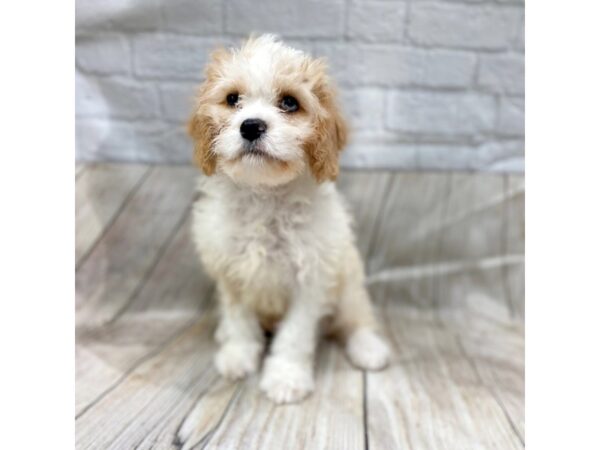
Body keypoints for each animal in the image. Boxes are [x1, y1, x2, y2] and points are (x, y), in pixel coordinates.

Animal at [190, 33, 392, 402]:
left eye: (289, 103)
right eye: (232, 99)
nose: (251, 126)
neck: (265, 198)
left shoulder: (312, 279)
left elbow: (295, 335)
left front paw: (285, 377)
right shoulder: (231, 273)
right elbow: (240, 320)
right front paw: (238, 354)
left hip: (348, 283)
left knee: (355, 320)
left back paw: (368, 348)